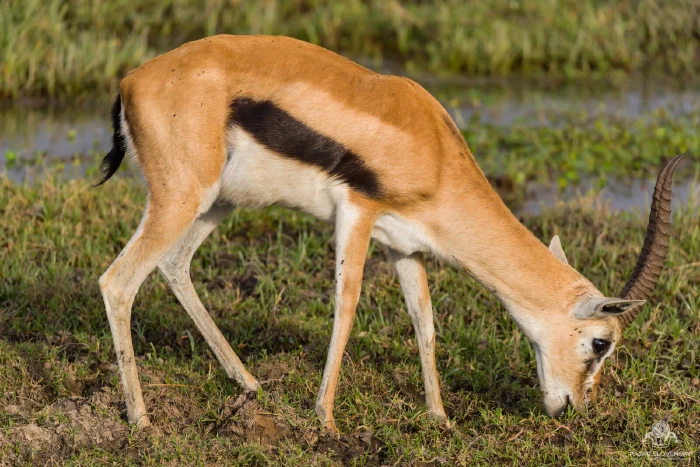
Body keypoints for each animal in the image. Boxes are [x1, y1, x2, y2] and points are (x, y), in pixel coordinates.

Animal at [96, 35, 682, 432]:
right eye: (601, 342)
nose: (577, 407)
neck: (435, 152)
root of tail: (130, 82)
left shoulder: (406, 245)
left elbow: (424, 320)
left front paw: (440, 417)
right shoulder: (357, 212)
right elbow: (347, 306)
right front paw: (326, 420)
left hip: (218, 202)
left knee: (173, 266)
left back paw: (250, 384)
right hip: (181, 199)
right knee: (117, 281)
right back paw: (141, 421)